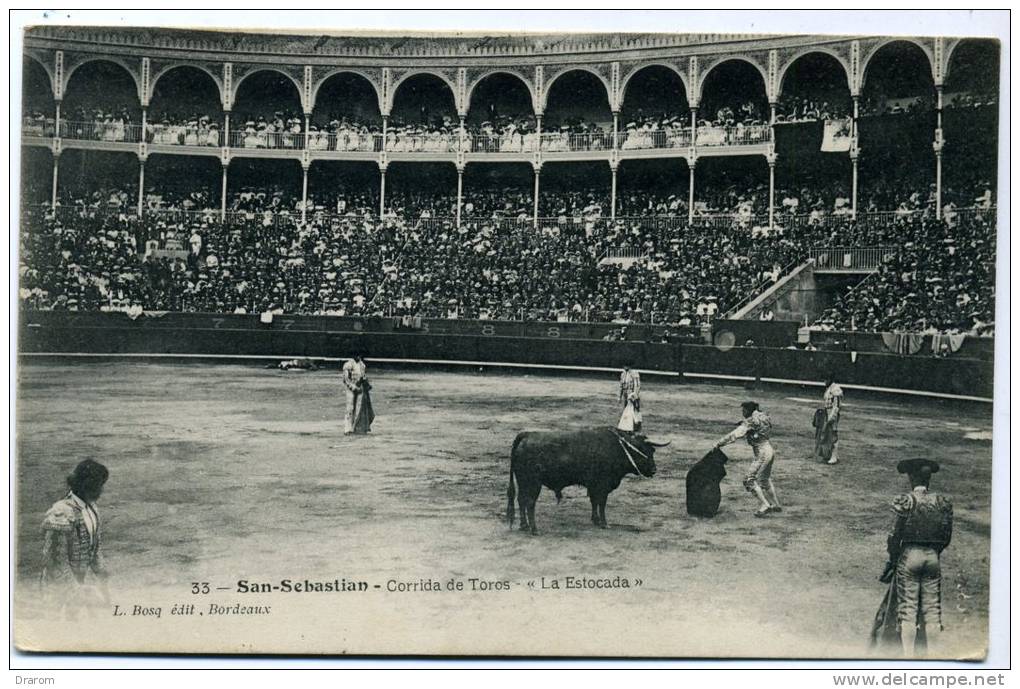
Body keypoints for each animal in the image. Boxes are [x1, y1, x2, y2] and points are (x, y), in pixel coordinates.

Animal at [503, 428, 669, 534]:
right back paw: (534, 529)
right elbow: (601, 503)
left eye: (652, 450)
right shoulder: (602, 485)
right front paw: (604, 523)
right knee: (530, 503)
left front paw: (595, 520)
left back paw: (524, 526)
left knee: (521, 500)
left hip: (523, 482)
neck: (619, 448)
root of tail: (526, 435)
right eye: (644, 450)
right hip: (533, 483)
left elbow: (594, 502)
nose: (654, 470)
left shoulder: (594, 485)